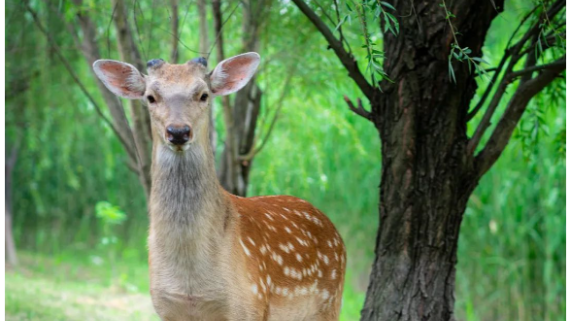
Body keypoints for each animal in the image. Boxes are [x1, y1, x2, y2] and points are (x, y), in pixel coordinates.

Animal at [92, 53, 346, 320]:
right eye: (151, 97)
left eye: (203, 94)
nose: (178, 132)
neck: (191, 280)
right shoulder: (166, 307)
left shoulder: (251, 302)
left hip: (330, 301)